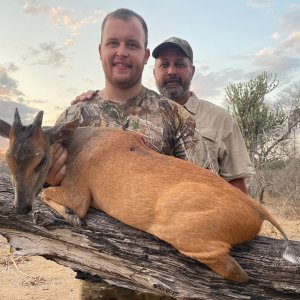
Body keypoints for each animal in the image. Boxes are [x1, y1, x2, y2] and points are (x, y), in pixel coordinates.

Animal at [0, 109, 298, 282]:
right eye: (9, 158)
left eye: (40, 160)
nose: (20, 207)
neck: (78, 143)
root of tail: (257, 208)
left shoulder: (78, 195)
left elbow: (50, 196)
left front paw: (71, 217)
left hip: (180, 234)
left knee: (237, 273)